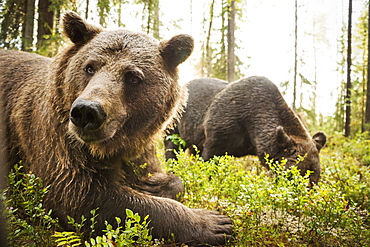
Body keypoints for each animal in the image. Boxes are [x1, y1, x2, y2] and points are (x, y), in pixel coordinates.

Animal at [0, 11, 231, 245]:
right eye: (89, 67)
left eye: (133, 76)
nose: (87, 111)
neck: (111, 146)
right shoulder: (55, 140)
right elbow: (82, 197)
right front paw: (214, 223)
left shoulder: (140, 147)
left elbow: (157, 173)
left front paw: (156, 184)